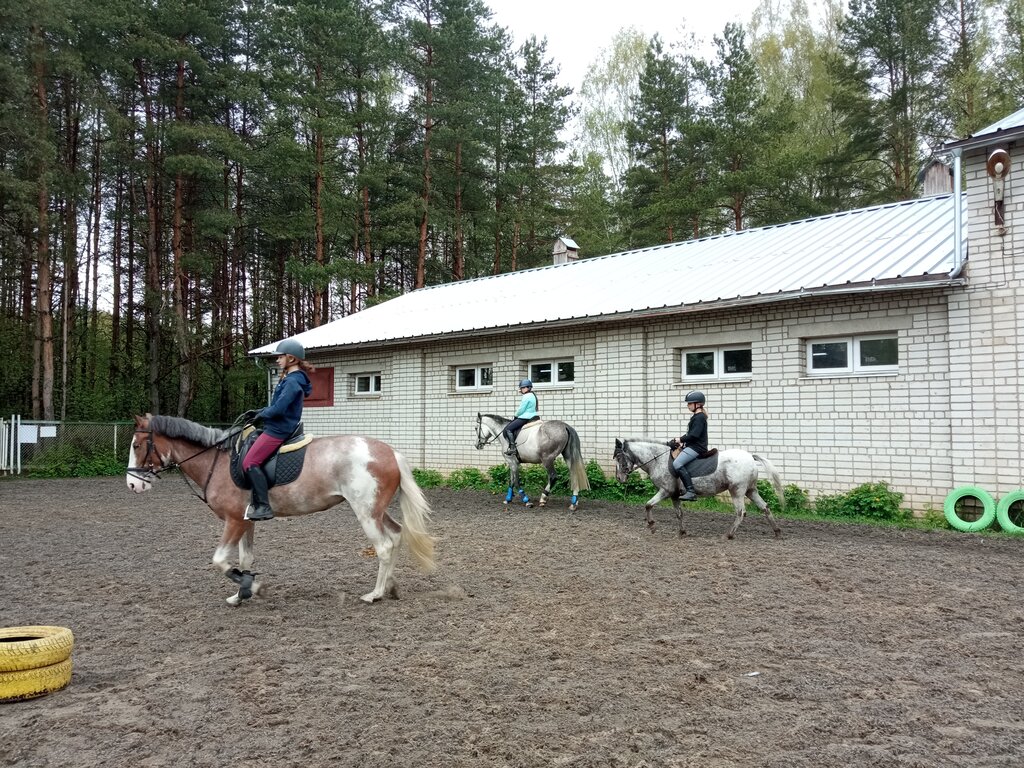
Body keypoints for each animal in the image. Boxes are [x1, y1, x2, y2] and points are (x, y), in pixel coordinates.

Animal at [124, 415, 436, 606]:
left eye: (137, 445)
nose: (131, 484)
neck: (218, 461)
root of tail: (389, 452)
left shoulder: (234, 520)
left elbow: (220, 561)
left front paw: (254, 588)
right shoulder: (246, 521)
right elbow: (245, 558)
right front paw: (241, 594)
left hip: (366, 511)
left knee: (384, 546)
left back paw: (375, 594)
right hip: (377, 510)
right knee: (396, 536)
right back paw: (391, 587)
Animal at [614, 438, 782, 540]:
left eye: (619, 457)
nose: (619, 478)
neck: (658, 459)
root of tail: (750, 457)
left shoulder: (665, 491)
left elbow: (648, 505)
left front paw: (652, 525)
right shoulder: (674, 495)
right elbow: (679, 514)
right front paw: (682, 532)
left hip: (737, 491)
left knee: (741, 513)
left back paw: (728, 535)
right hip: (750, 490)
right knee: (765, 508)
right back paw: (777, 532)